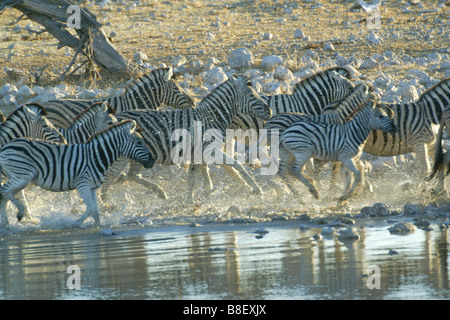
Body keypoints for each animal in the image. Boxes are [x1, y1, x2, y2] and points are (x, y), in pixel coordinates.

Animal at [0, 120, 155, 228]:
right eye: (139, 142)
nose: (152, 162)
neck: (96, 156)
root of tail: (6, 146)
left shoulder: (92, 188)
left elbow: (96, 211)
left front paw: (99, 227)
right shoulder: (83, 184)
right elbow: (90, 208)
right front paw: (73, 223)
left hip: (20, 177)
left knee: (5, 195)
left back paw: (6, 225)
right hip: (22, 176)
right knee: (4, 190)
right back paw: (19, 213)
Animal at [112, 74, 272, 201]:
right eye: (251, 96)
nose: (269, 111)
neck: (212, 118)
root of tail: (116, 116)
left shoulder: (198, 154)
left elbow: (194, 177)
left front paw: (193, 199)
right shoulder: (211, 150)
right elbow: (237, 164)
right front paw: (256, 188)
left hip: (140, 156)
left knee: (132, 175)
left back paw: (160, 193)